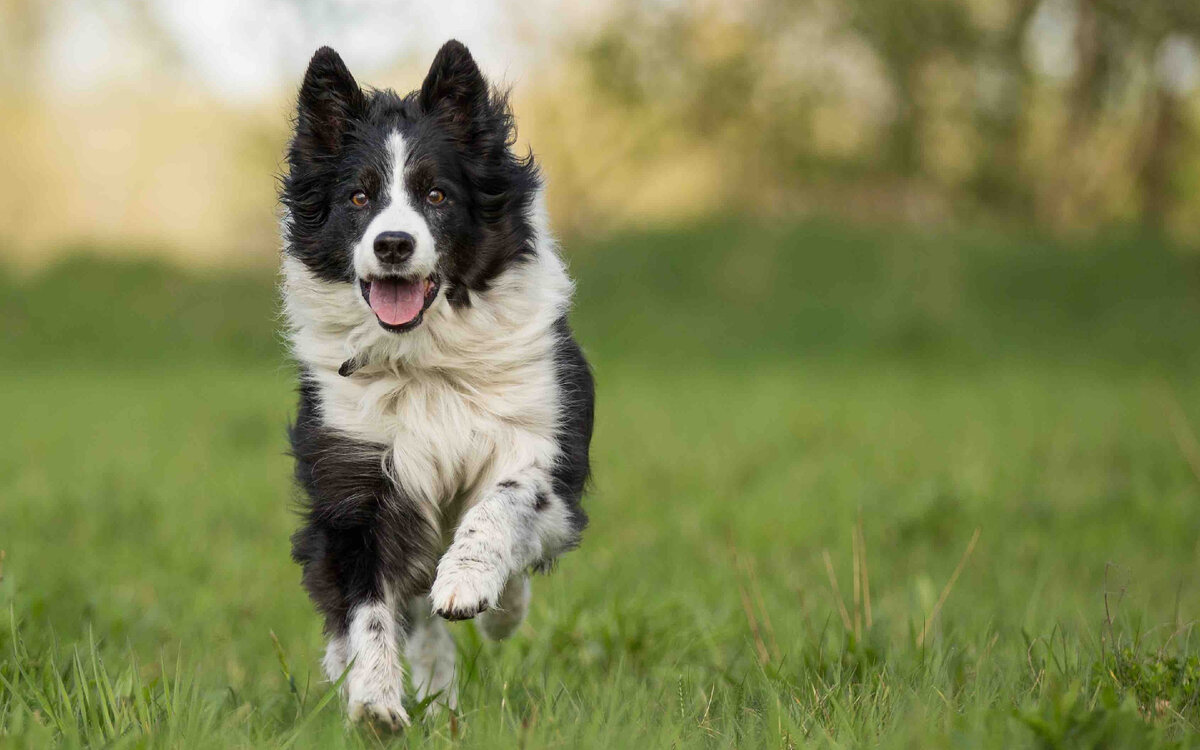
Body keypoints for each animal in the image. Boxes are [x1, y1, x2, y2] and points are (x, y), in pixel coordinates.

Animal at [282, 39, 600, 724]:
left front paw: (469, 583)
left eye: (435, 194)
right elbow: (368, 605)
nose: (394, 245)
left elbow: (504, 501)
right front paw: (374, 701)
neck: (424, 357)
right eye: (358, 198)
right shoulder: (357, 477)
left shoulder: (546, 449)